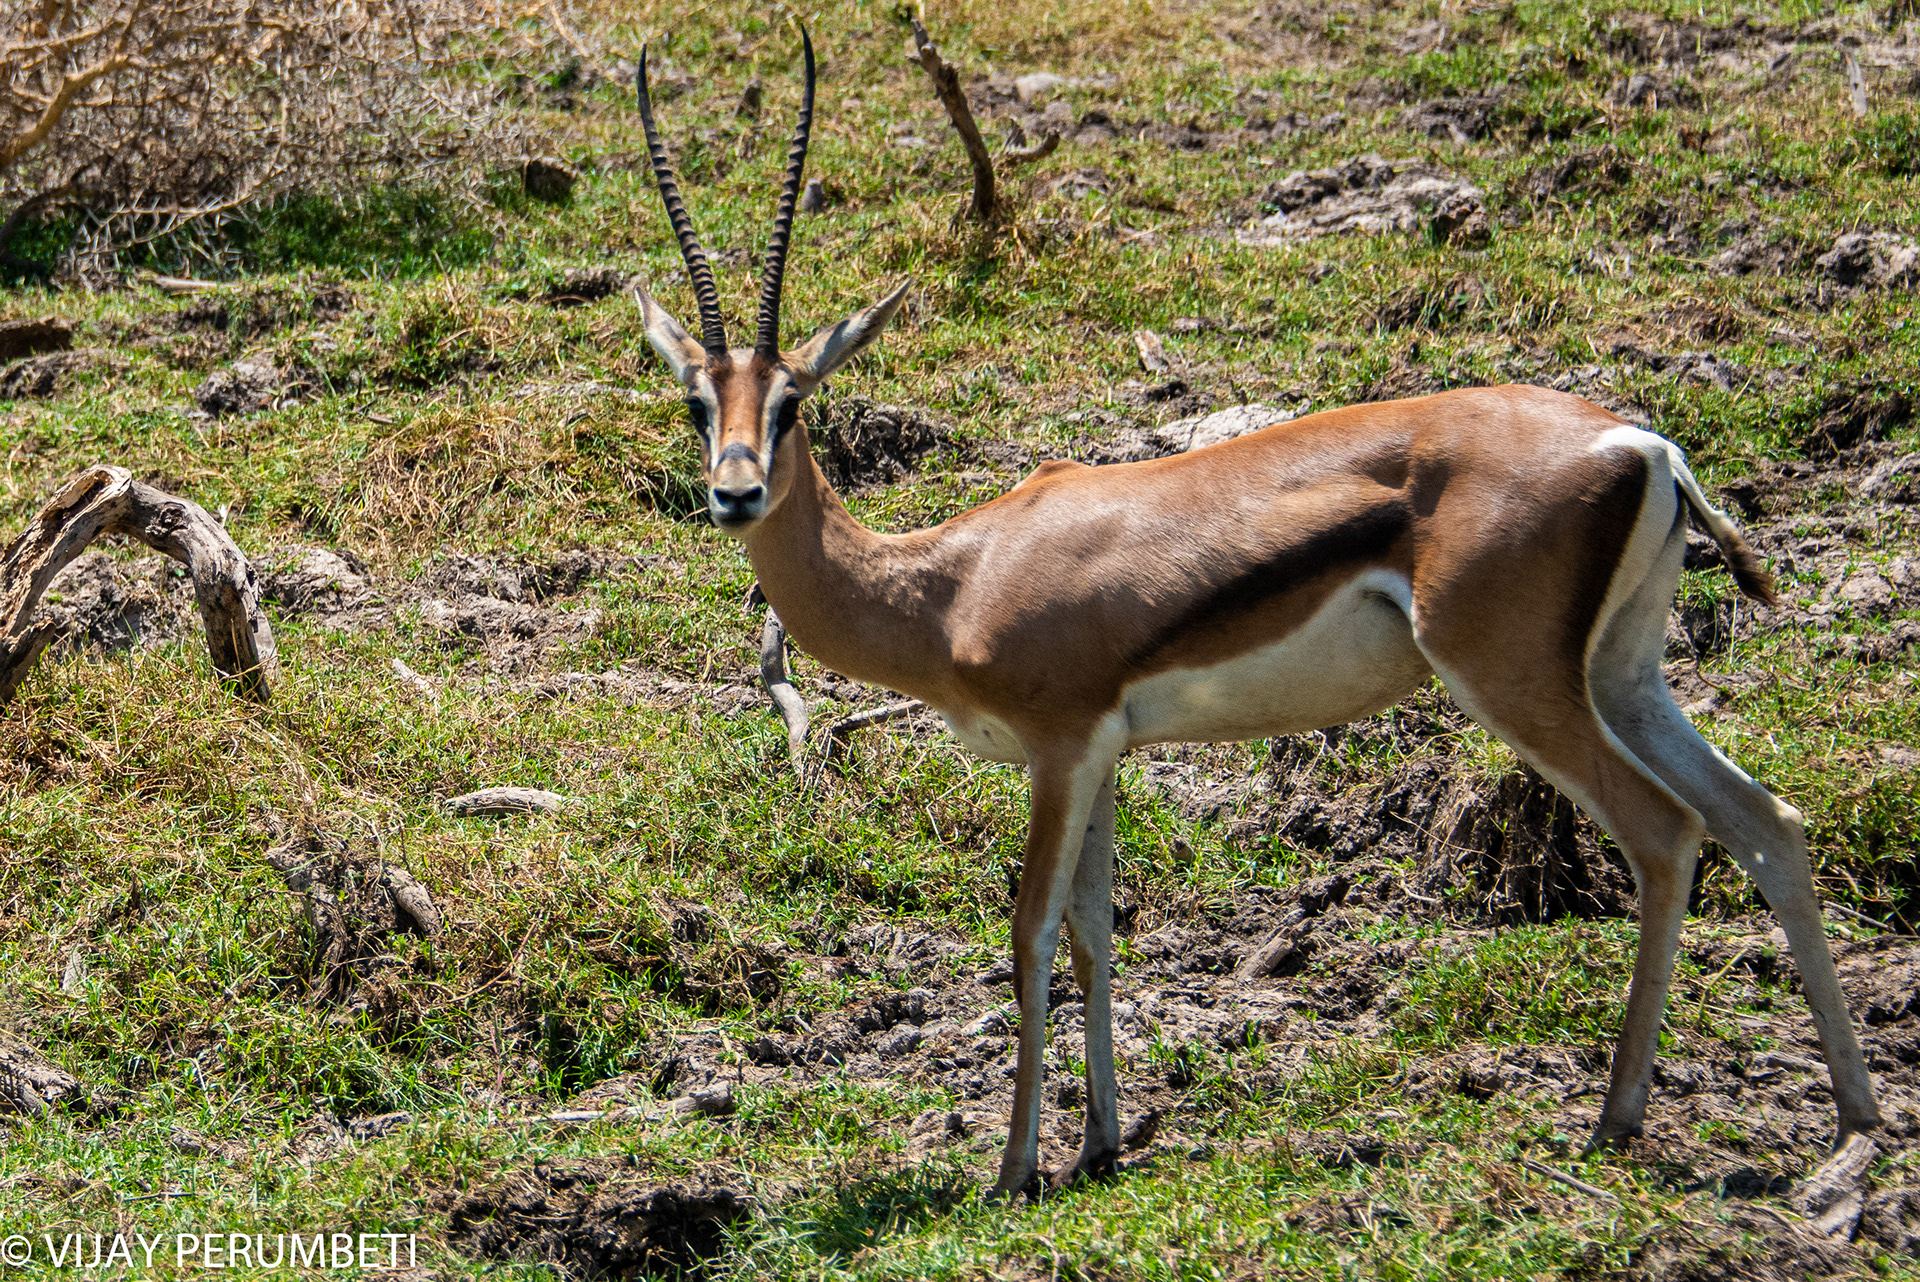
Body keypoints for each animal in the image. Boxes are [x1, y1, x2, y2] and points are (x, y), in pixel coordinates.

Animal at [631, 34, 1881, 1199]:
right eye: (698, 401)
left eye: (792, 402)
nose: (734, 491)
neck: (949, 580)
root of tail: (1643, 443)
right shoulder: (1106, 755)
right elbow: (1094, 930)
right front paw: (1100, 1144)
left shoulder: (1060, 745)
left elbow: (1031, 930)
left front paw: (1015, 1168)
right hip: (1623, 674)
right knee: (1768, 819)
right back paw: (1854, 1122)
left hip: (1513, 680)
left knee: (1667, 833)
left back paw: (1616, 1122)